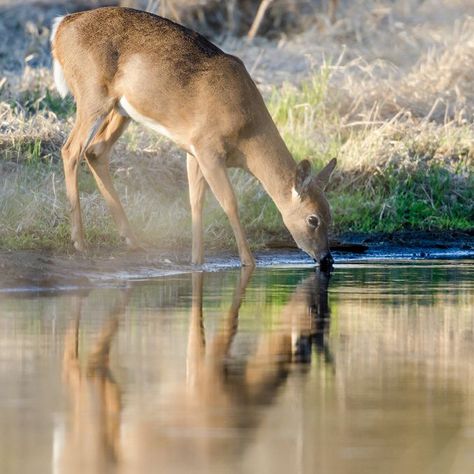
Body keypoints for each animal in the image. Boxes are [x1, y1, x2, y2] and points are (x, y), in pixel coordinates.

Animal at [50, 7, 336, 268]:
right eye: (313, 219)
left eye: (331, 215)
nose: (327, 259)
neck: (247, 135)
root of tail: (61, 27)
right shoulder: (208, 148)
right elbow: (229, 202)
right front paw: (248, 261)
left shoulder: (193, 151)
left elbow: (195, 201)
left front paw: (196, 261)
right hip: (92, 95)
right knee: (71, 149)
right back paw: (80, 241)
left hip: (121, 110)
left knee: (95, 151)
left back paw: (131, 239)